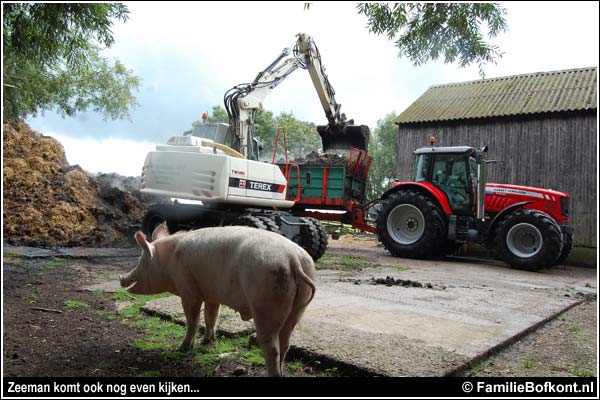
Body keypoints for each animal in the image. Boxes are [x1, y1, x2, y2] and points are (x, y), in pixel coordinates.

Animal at [116, 223, 314, 376]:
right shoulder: (212, 294)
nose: (121, 278)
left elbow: (193, 320)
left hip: (266, 304)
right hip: (298, 308)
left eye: (141, 260)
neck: (168, 262)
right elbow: (211, 316)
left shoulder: (188, 290)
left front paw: (183, 348)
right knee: (286, 342)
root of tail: (293, 259)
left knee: (271, 346)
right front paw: (207, 342)